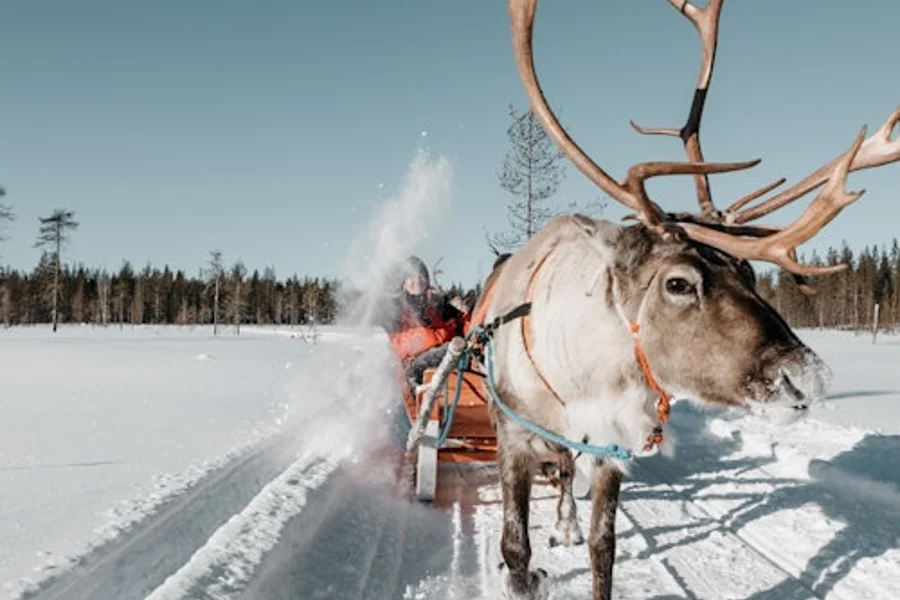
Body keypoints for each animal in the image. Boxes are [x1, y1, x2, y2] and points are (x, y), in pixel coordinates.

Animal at [470, 1, 900, 598]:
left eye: (750, 271)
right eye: (678, 283)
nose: (807, 377)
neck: (581, 376)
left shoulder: (613, 448)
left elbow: (605, 548)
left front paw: (582, 536)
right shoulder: (512, 438)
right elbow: (516, 552)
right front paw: (527, 564)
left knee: (565, 479)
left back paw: (566, 523)